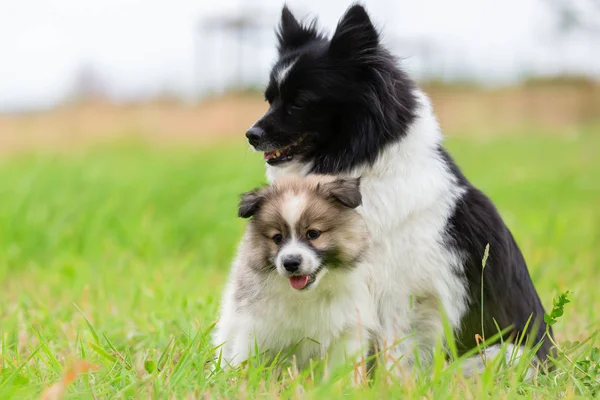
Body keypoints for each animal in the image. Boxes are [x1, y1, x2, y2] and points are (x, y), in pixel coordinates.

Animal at [239, 3, 552, 374]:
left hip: (504, 353)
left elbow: (394, 350)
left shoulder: (399, 290)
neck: (363, 165)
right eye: (269, 99)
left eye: (299, 102)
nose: (251, 134)